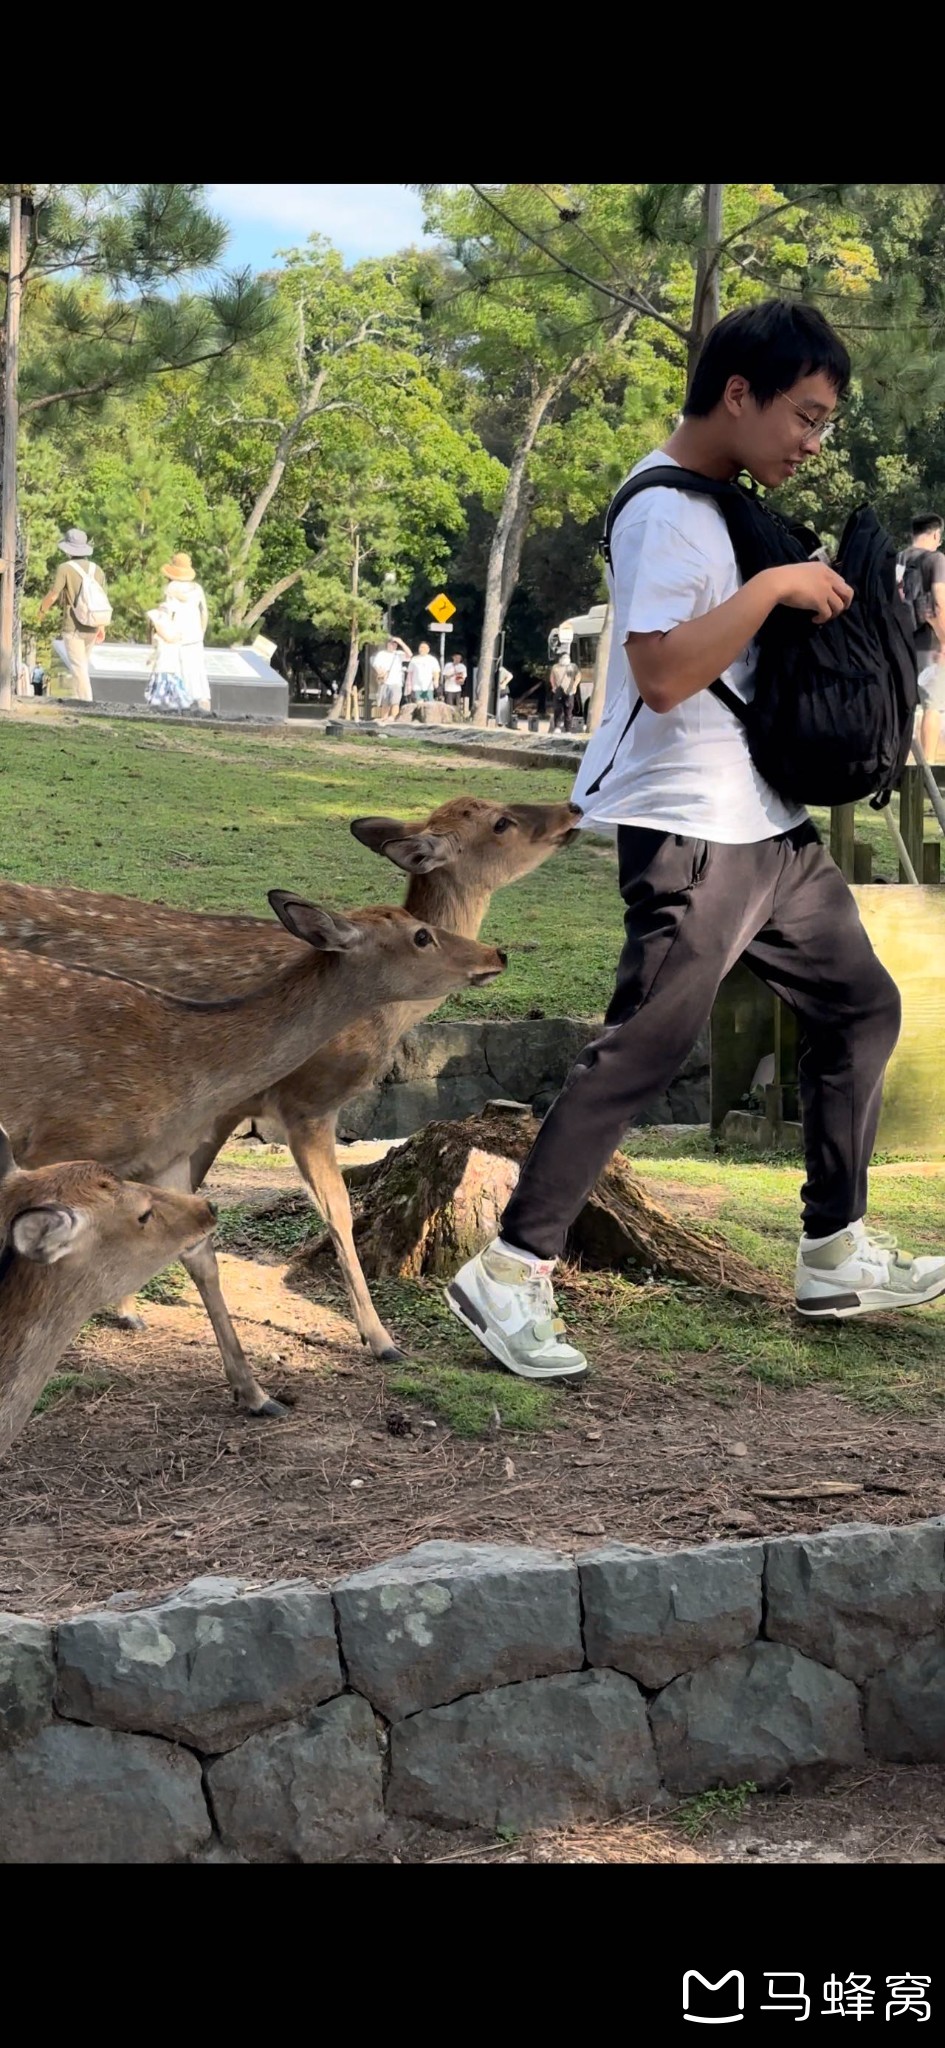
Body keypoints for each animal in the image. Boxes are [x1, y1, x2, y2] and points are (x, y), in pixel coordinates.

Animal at [0, 794, 573, 1359]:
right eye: (502, 821)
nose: (571, 813)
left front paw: (127, 1306)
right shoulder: (304, 1101)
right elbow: (337, 1210)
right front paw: (380, 1339)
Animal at [0, 888, 504, 1417]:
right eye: (421, 935)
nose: (496, 954)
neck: (184, 1068)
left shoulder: (167, 1158)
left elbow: (201, 1255)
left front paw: (256, 1393)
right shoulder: (57, 1145)